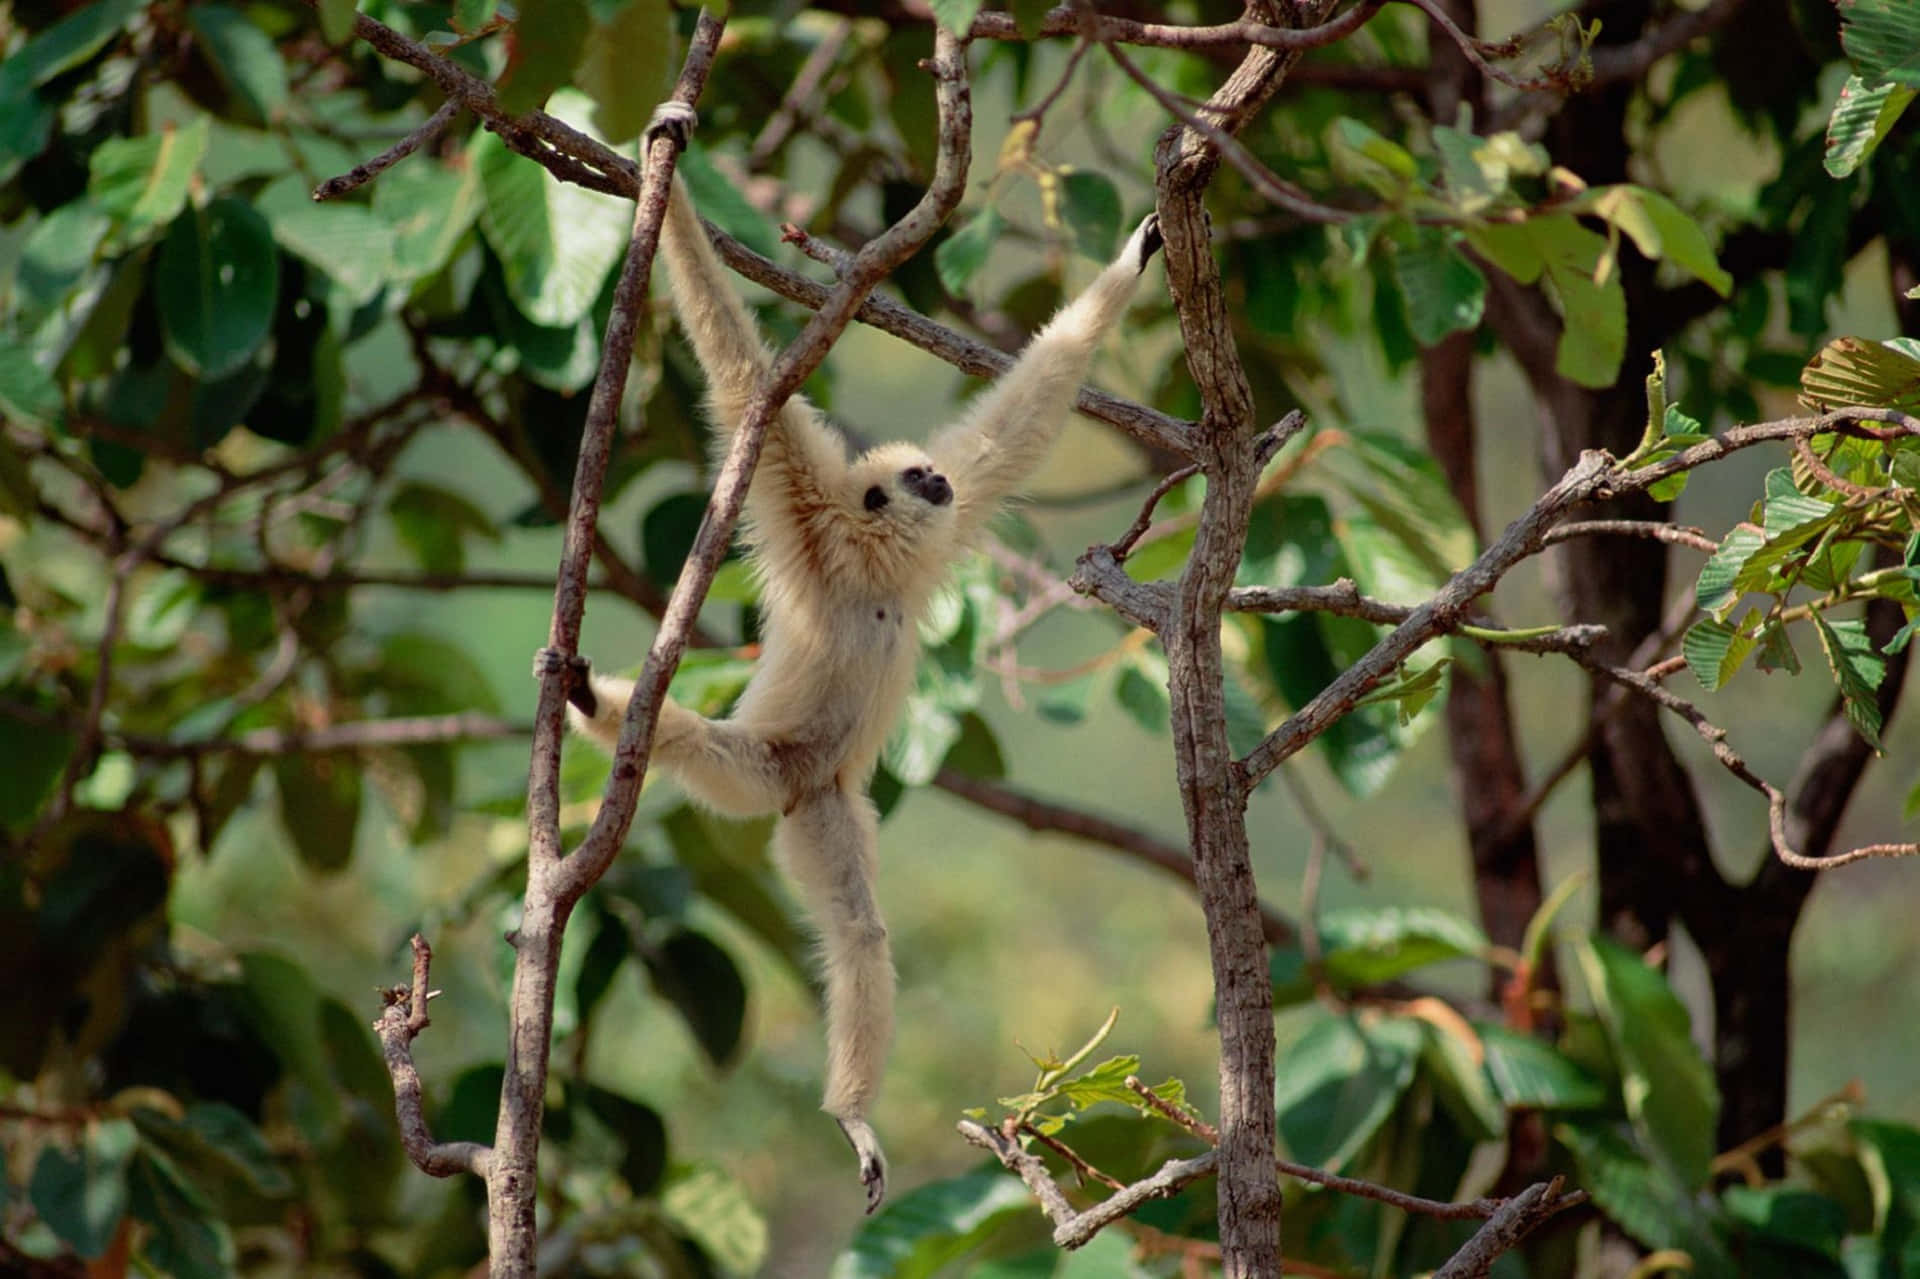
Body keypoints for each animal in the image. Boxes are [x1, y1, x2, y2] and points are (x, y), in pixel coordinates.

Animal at [542, 101, 1162, 1213]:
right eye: (910, 477)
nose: (932, 481)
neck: (875, 568)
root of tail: (807, 782)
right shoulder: (803, 500)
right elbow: (743, 373)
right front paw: (668, 167)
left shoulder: (943, 524)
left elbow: (1018, 425)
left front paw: (1142, 250)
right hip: (771, 777)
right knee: (698, 747)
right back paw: (591, 704)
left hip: (828, 805)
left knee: (861, 939)